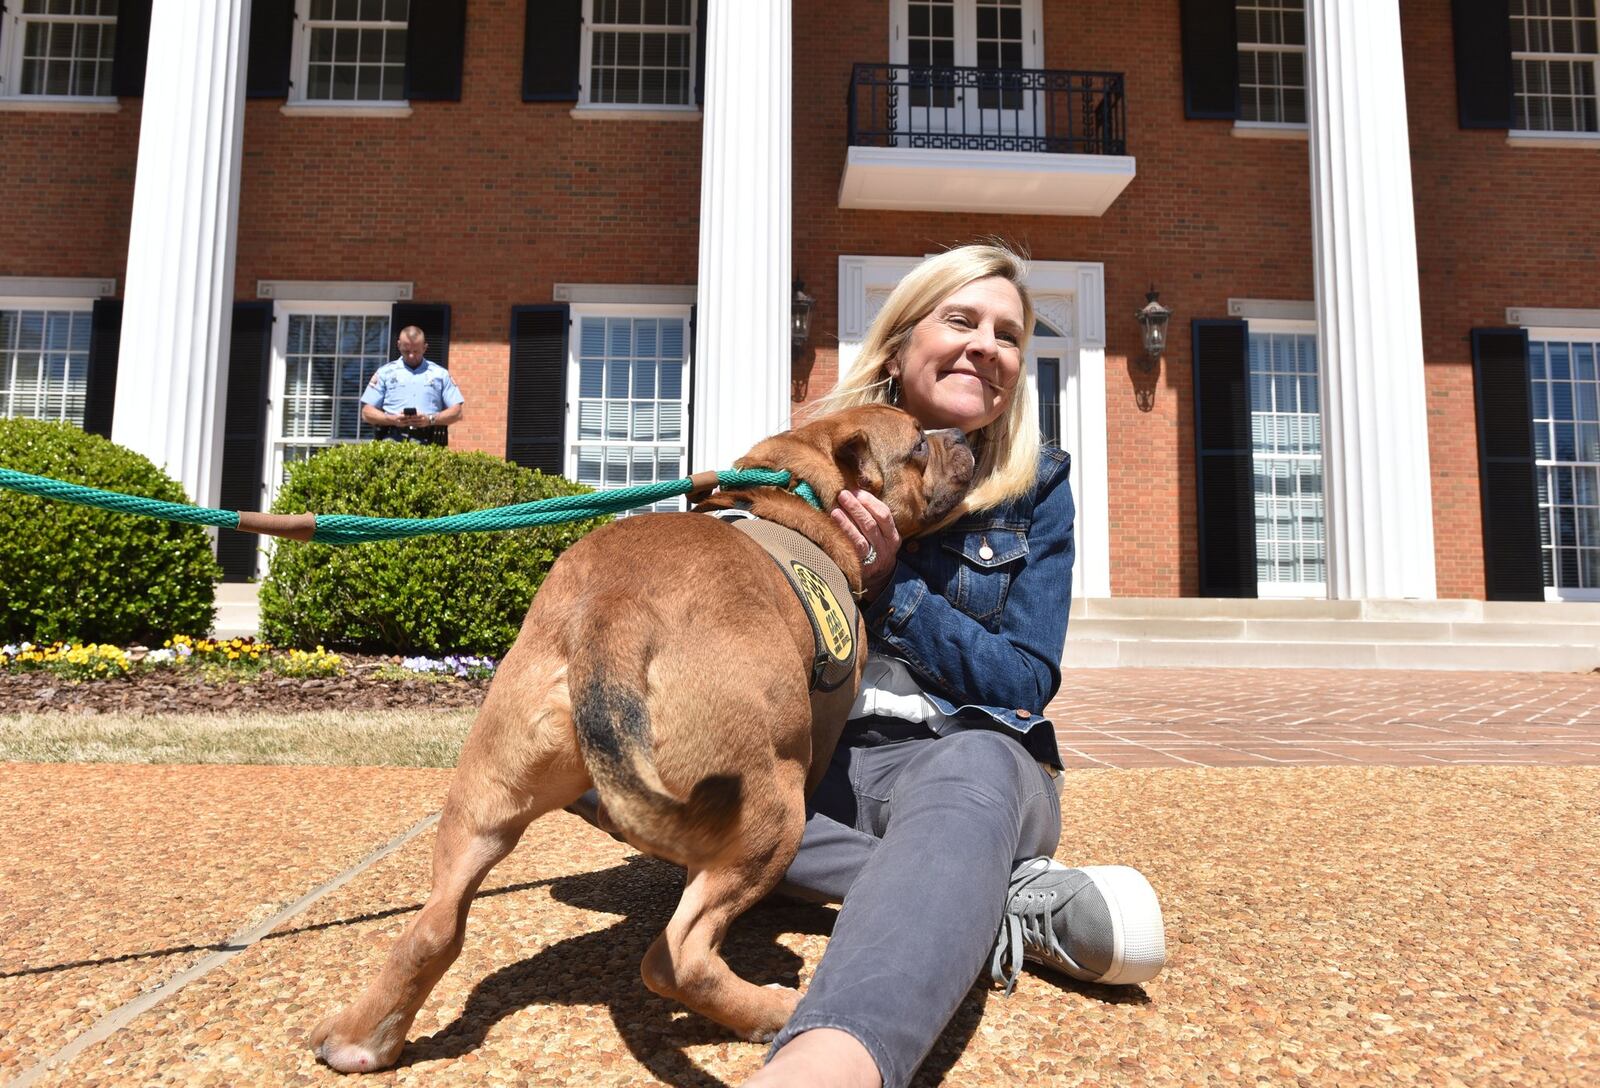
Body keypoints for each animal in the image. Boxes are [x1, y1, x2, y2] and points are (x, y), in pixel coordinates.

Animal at [305, 406, 966, 1068]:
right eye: (917, 444)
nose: (959, 435)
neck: (800, 486)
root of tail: (613, 609)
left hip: (484, 803)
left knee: (435, 928)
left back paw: (359, 1038)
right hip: (774, 811)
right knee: (678, 959)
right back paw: (769, 1011)